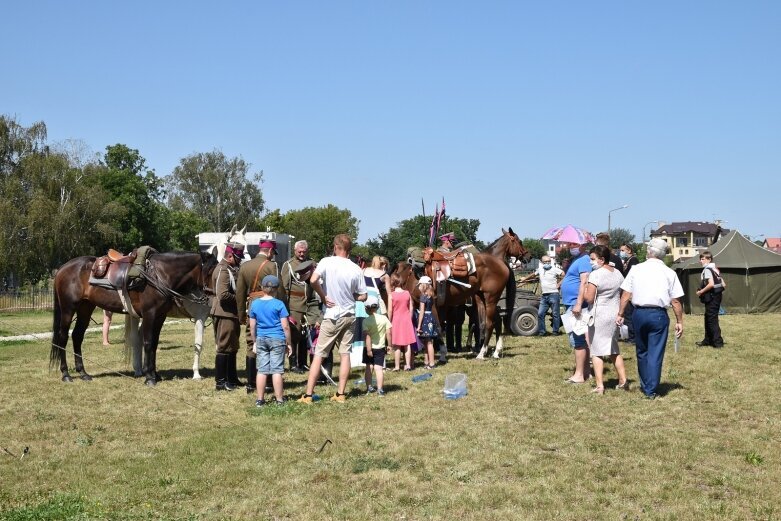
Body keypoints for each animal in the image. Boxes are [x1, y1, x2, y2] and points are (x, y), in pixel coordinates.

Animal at [50, 252, 216, 386]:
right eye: (209, 272)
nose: (212, 299)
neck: (158, 276)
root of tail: (62, 268)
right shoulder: (149, 314)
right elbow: (148, 343)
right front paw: (149, 378)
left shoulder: (160, 316)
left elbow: (154, 344)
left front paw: (155, 374)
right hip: (68, 309)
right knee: (63, 337)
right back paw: (66, 374)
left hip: (85, 308)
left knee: (77, 336)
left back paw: (83, 373)